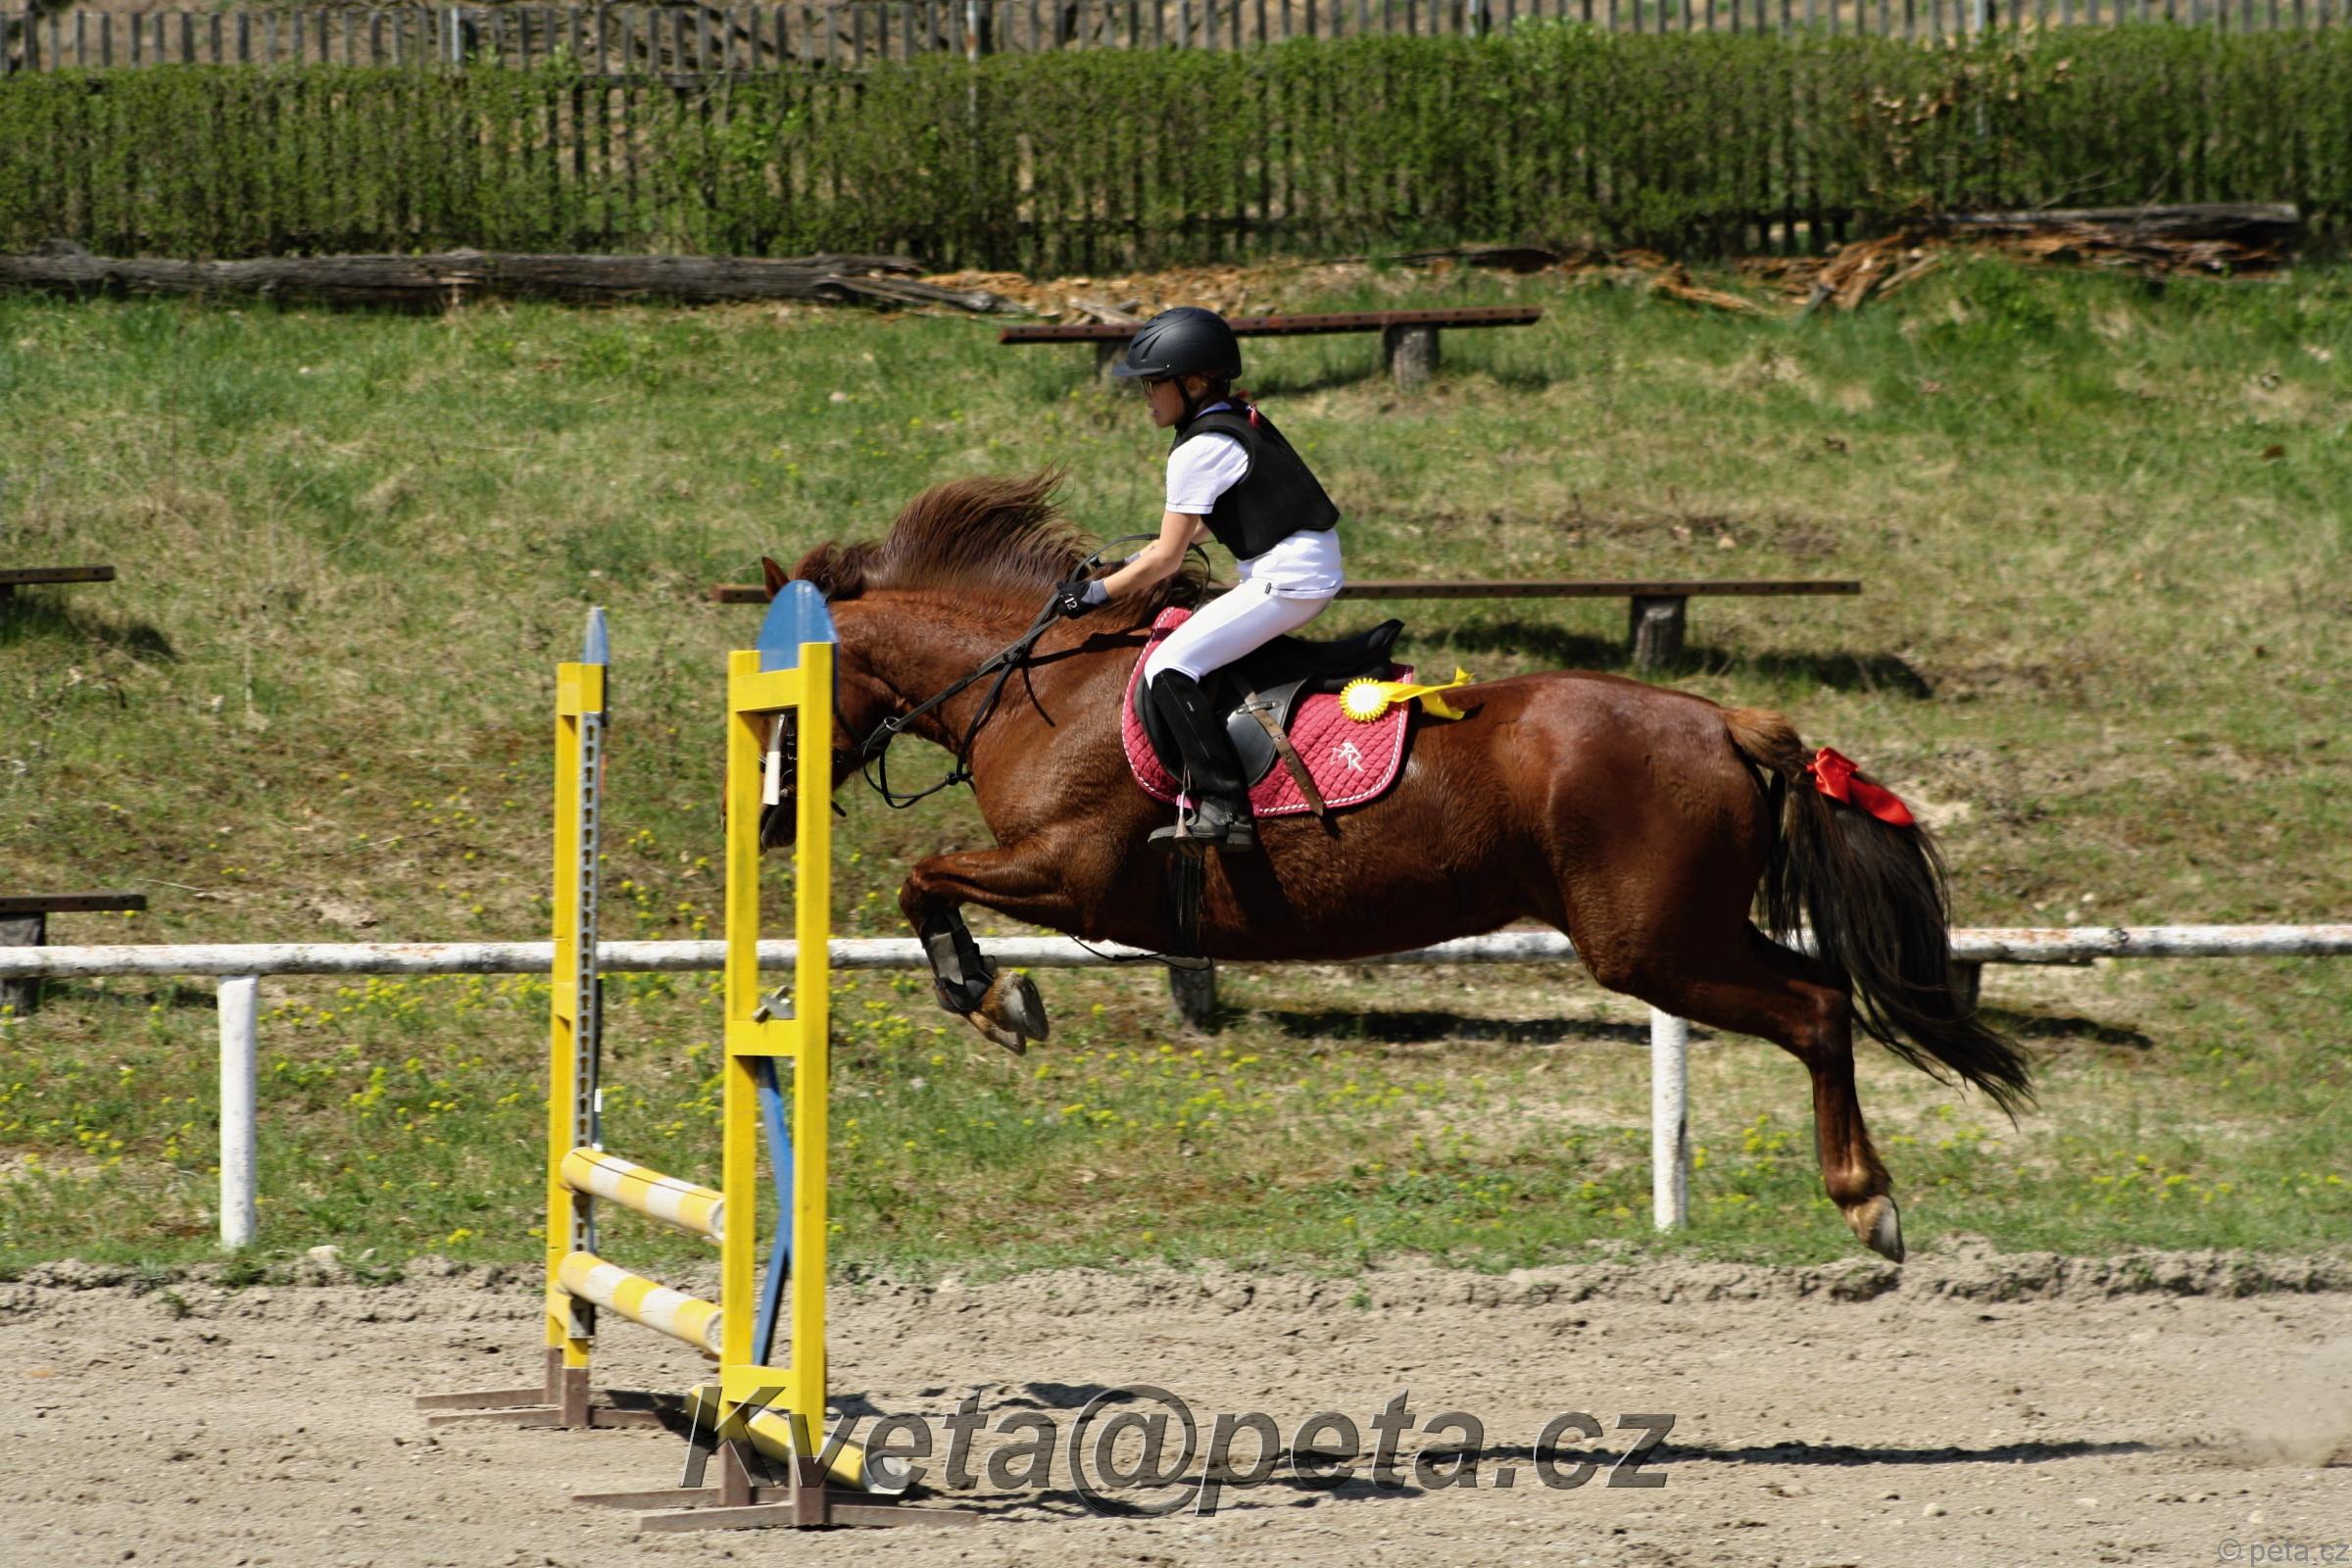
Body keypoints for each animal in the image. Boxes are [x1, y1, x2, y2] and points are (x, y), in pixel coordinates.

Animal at [762, 472, 2031, 1262]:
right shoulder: (1054, 873)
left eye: (781, 693)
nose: (771, 821)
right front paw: (991, 997)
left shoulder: (1069, 872)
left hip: (1650, 944)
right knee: (1821, 992)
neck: (1040, 682)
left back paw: (1868, 1204)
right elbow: (925, 880)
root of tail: (1726, 719)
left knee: (1817, 1010)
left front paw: (992, 998)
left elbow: (923, 874)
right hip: (1691, 927)